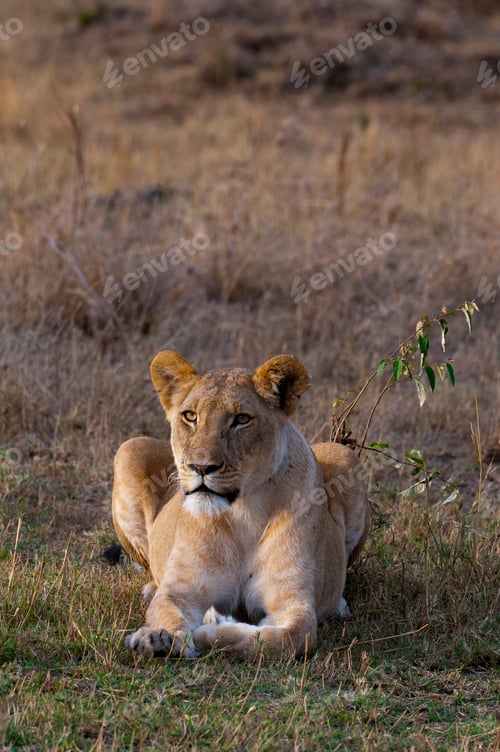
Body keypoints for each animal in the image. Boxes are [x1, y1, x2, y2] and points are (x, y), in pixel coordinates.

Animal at [112, 350, 370, 659]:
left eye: (241, 419)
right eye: (190, 416)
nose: (201, 467)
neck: (243, 514)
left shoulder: (293, 602)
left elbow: (280, 639)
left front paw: (209, 631)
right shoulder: (181, 591)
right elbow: (167, 611)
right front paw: (159, 637)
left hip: (344, 455)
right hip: (129, 448)